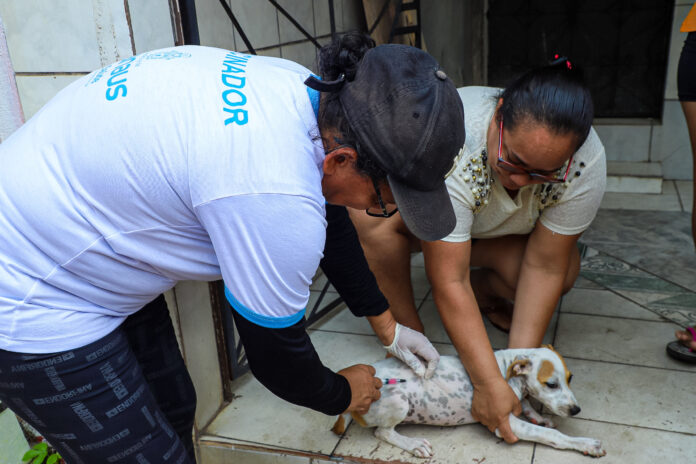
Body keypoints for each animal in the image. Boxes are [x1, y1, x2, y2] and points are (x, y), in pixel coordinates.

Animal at [334, 346, 608, 458]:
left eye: (570, 378)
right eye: (551, 384)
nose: (576, 409)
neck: (506, 370)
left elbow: (527, 404)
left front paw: (538, 415)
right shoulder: (505, 423)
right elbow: (555, 437)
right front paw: (586, 444)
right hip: (399, 401)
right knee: (382, 432)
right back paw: (413, 444)